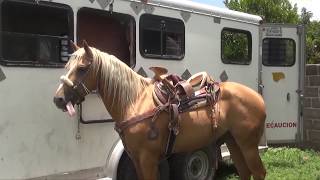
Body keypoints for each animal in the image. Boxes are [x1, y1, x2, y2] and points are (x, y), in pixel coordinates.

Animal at [53, 41, 266, 180]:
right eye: (67, 65)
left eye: (82, 68)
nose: (58, 99)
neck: (134, 101)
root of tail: (258, 97)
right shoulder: (136, 159)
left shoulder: (147, 158)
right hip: (233, 141)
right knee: (245, 172)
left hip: (248, 144)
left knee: (258, 172)